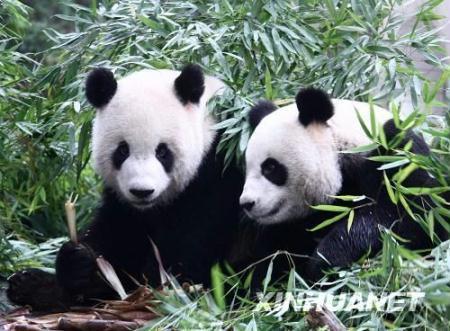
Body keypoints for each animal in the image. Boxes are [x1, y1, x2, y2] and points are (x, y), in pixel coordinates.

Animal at [6, 64, 243, 312]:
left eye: (162, 151)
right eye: (122, 150)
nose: (142, 191)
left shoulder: (215, 177)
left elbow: (180, 258)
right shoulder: (122, 202)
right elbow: (117, 238)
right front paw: (77, 263)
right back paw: (27, 284)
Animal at [239, 87, 446, 284]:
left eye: (270, 167)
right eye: (247, 168)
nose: (246, 203)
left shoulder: (397, 156)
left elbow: (409, 220)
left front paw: (325, 261)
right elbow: (273, 258)